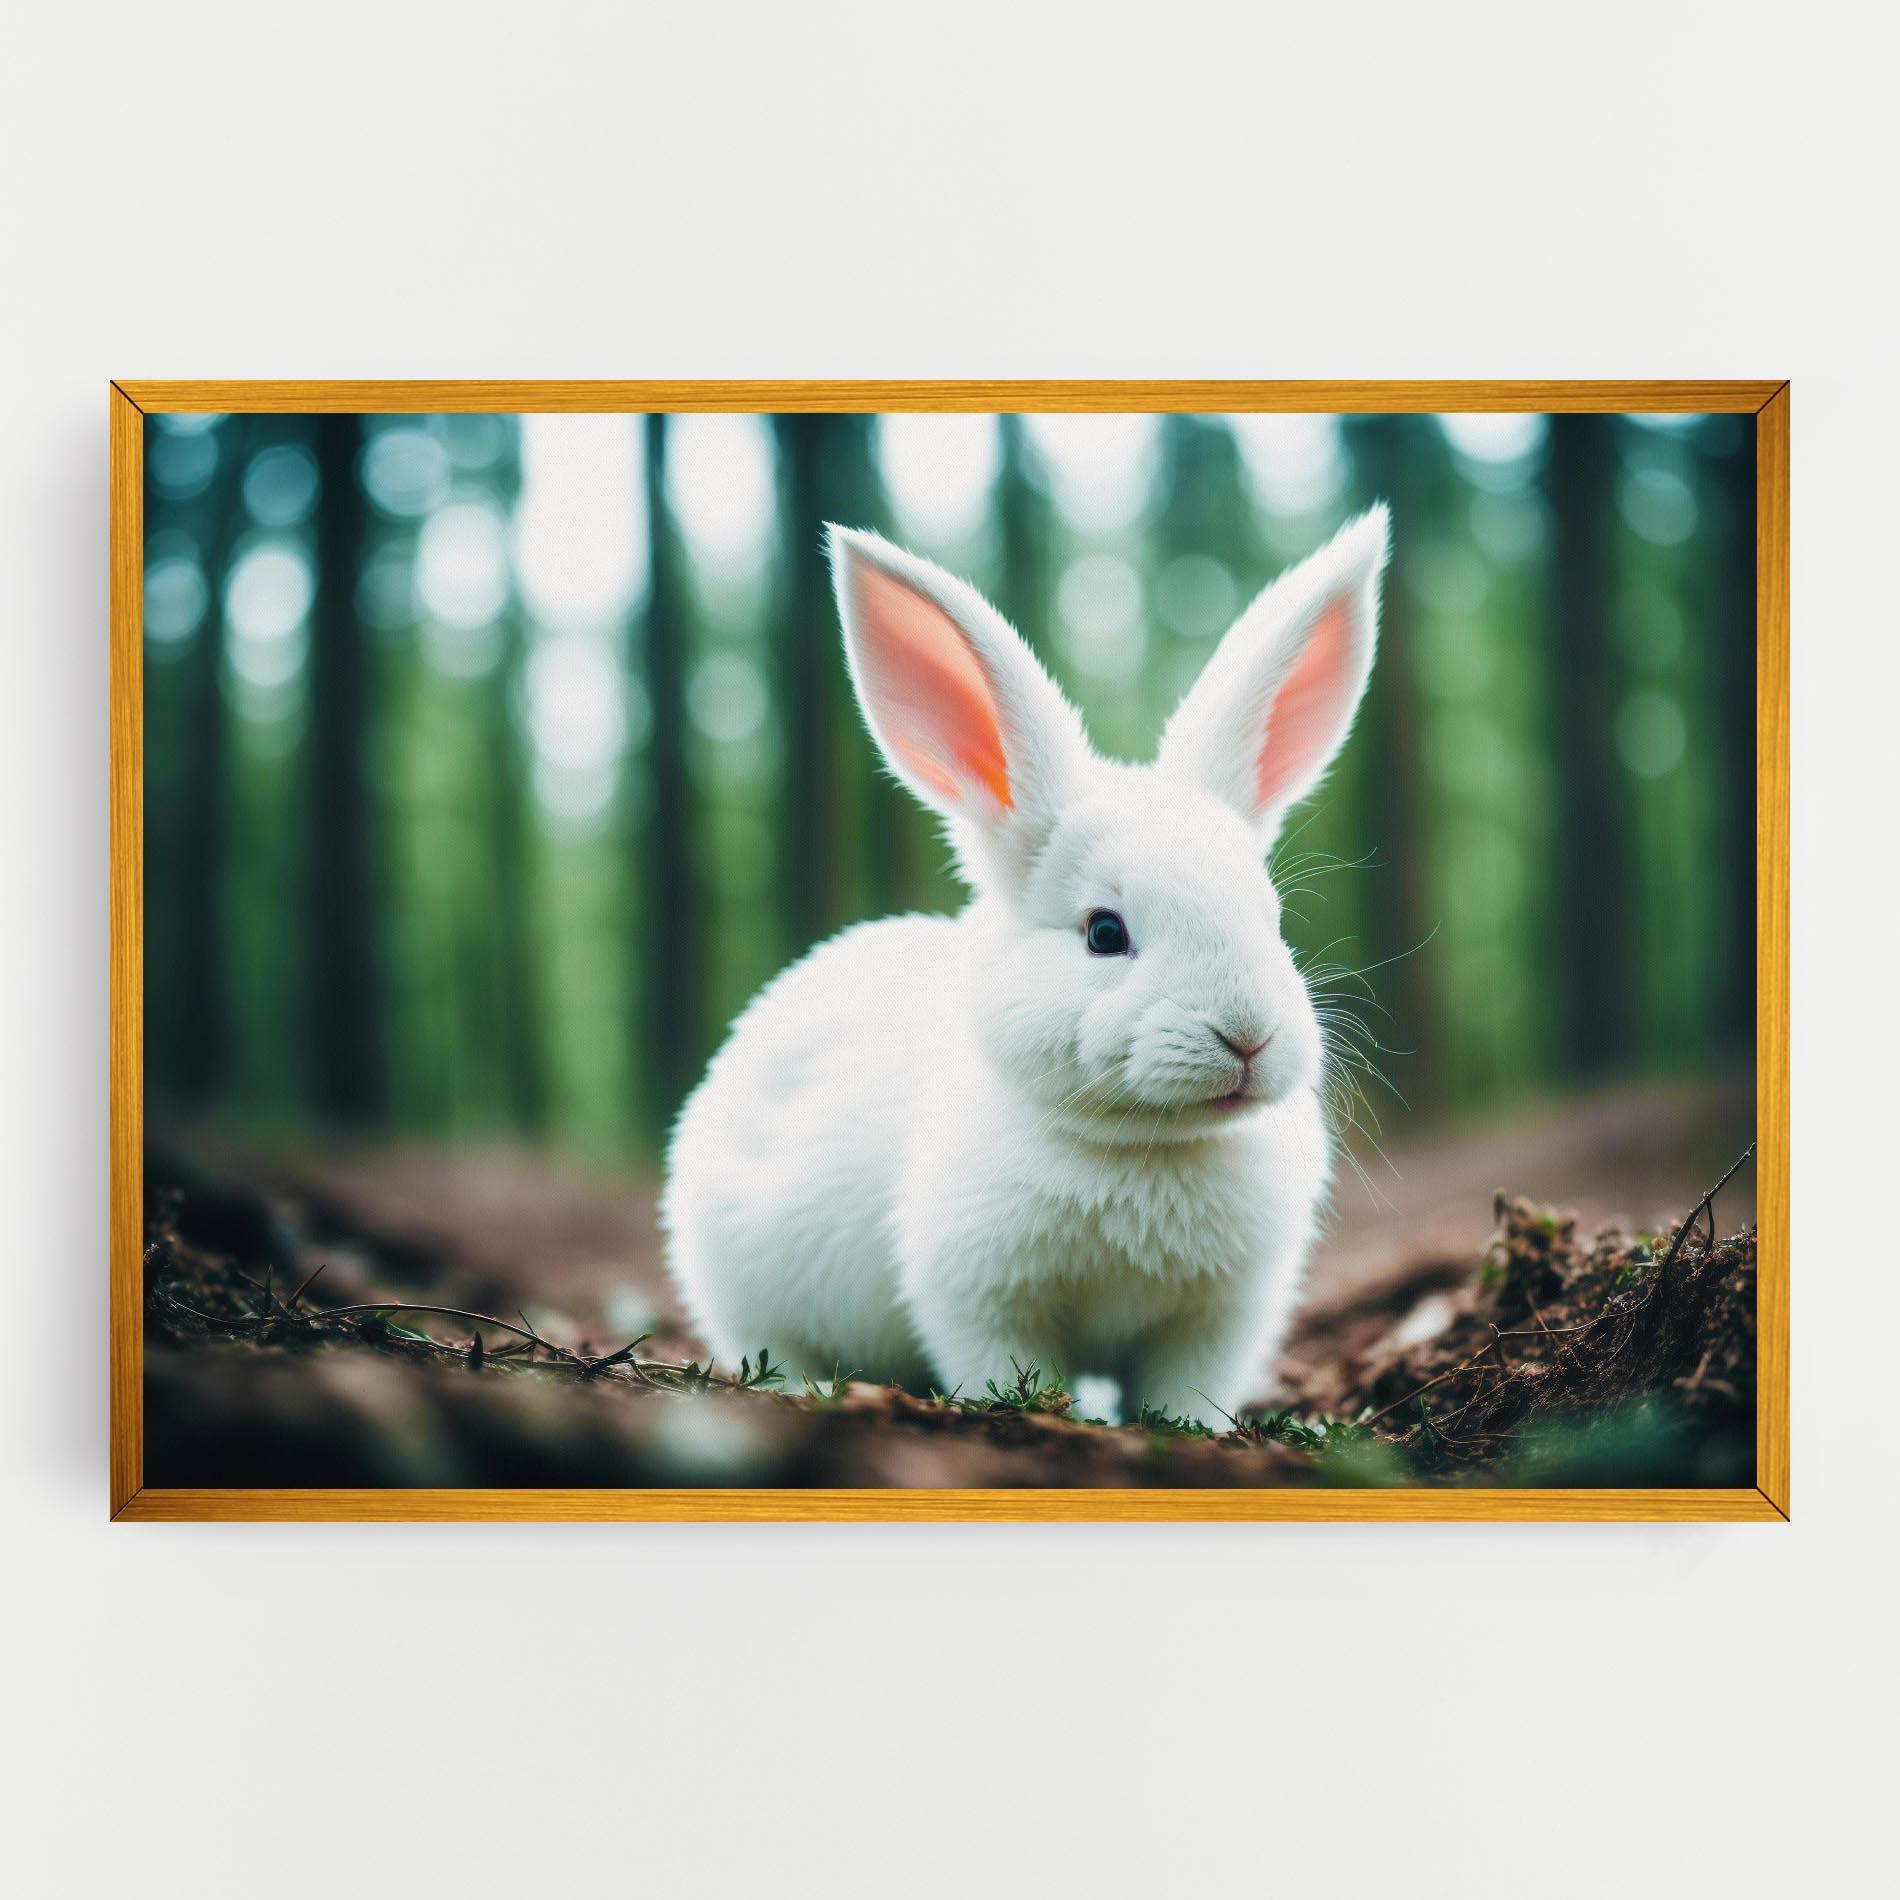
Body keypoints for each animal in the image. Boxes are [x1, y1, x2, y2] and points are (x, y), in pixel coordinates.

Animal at [662, 504, 1389, 1427]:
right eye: (1105, 933)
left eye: (1273, 917)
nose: (1248, 1036)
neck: (1144, 1147)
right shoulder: (979, 1298)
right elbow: (1006, 1363)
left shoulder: (1218, 1317)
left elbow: (1185, 1388)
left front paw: (1185, 1429)